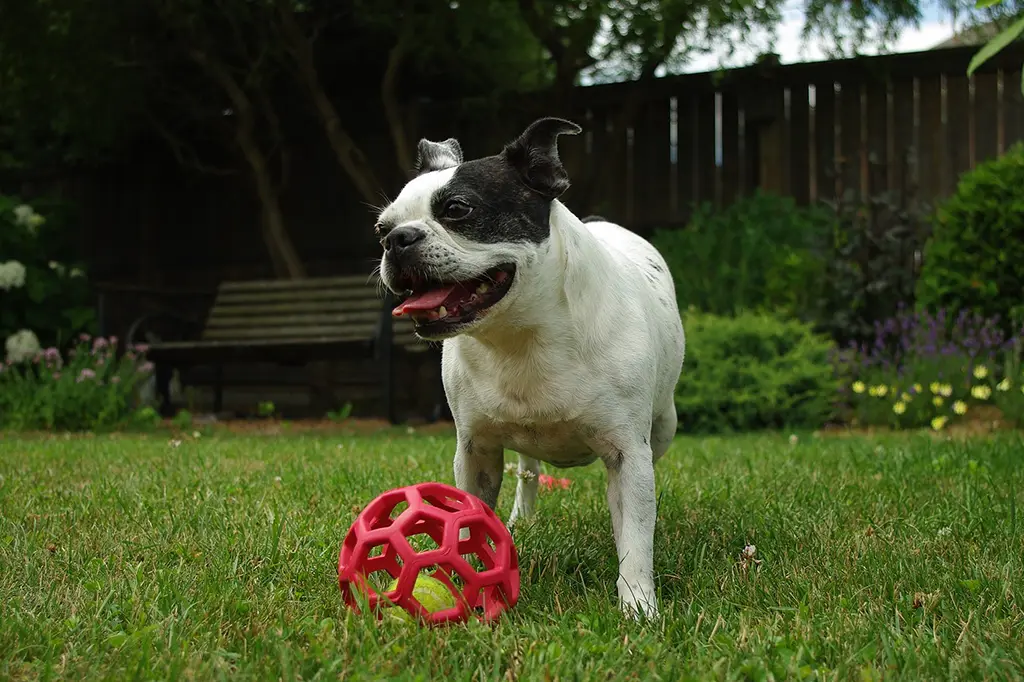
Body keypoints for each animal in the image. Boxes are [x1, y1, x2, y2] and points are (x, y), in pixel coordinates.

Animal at [372, 115, 684, 614]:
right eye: (381, 227)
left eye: (457, 209)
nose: (396, 240)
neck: (519, 335)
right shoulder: (475, 452)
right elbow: (468, 517)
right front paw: (462, 581)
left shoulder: (628, 455)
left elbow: (635, 537)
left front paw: (638, 607)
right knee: (529, 471)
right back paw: (523, 518)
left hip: (662, 428)